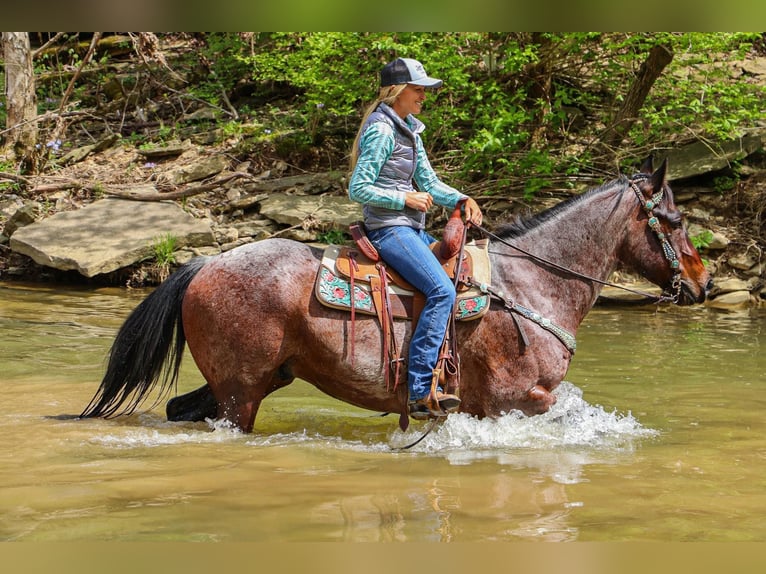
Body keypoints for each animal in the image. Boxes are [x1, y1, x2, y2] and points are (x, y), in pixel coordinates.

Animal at [79, 155, 712, 434]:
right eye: (676, 220)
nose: (703, 283)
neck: (535, 285)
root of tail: (207, 262)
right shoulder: (515, 398)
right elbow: (572, 410)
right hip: (241, 391)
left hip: (253, 380)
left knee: (181, 409)